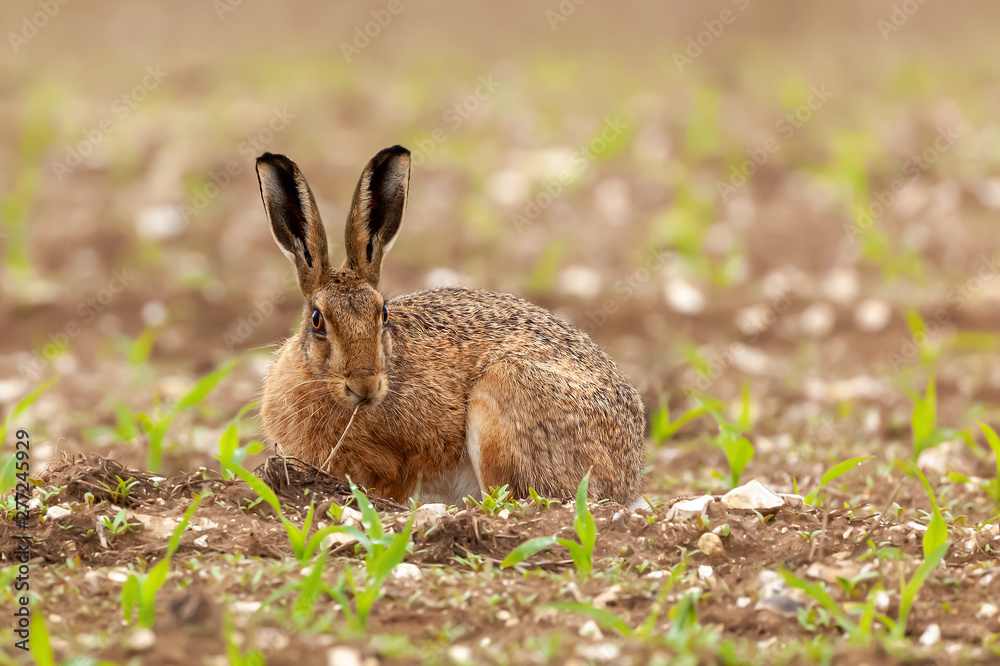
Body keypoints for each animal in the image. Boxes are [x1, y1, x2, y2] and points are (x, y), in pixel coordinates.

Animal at [256, 146, 646, 506]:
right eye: (318, 320)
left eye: (383, 314)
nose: (365, 385)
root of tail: (629, 477)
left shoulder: (407, 458)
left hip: (505, 389)